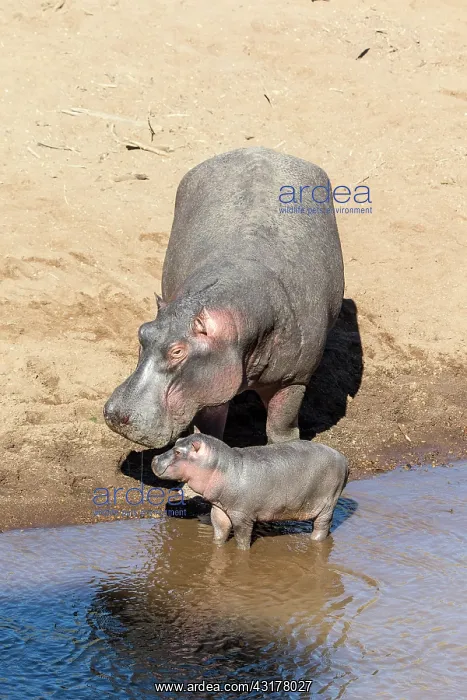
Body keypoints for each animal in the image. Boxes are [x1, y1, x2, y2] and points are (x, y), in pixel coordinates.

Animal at [104, 147, 344, 449]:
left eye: (178, 351)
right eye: (142, 332)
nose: (115, 414)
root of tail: (259, 149)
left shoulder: (294, 380)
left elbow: (282, 429)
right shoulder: (211, 385)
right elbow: (210, 428)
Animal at [152, 434, 349, 549]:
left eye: (178, 452)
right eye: (176, 442)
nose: (154, 459)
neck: (221, 466)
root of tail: (343, 458)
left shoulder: (242, 515)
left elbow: (241, 538)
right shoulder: (219, 509)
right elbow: (219, 530)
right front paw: (217, 545)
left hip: (327, 504)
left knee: (322, 525)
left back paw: (315, 541)